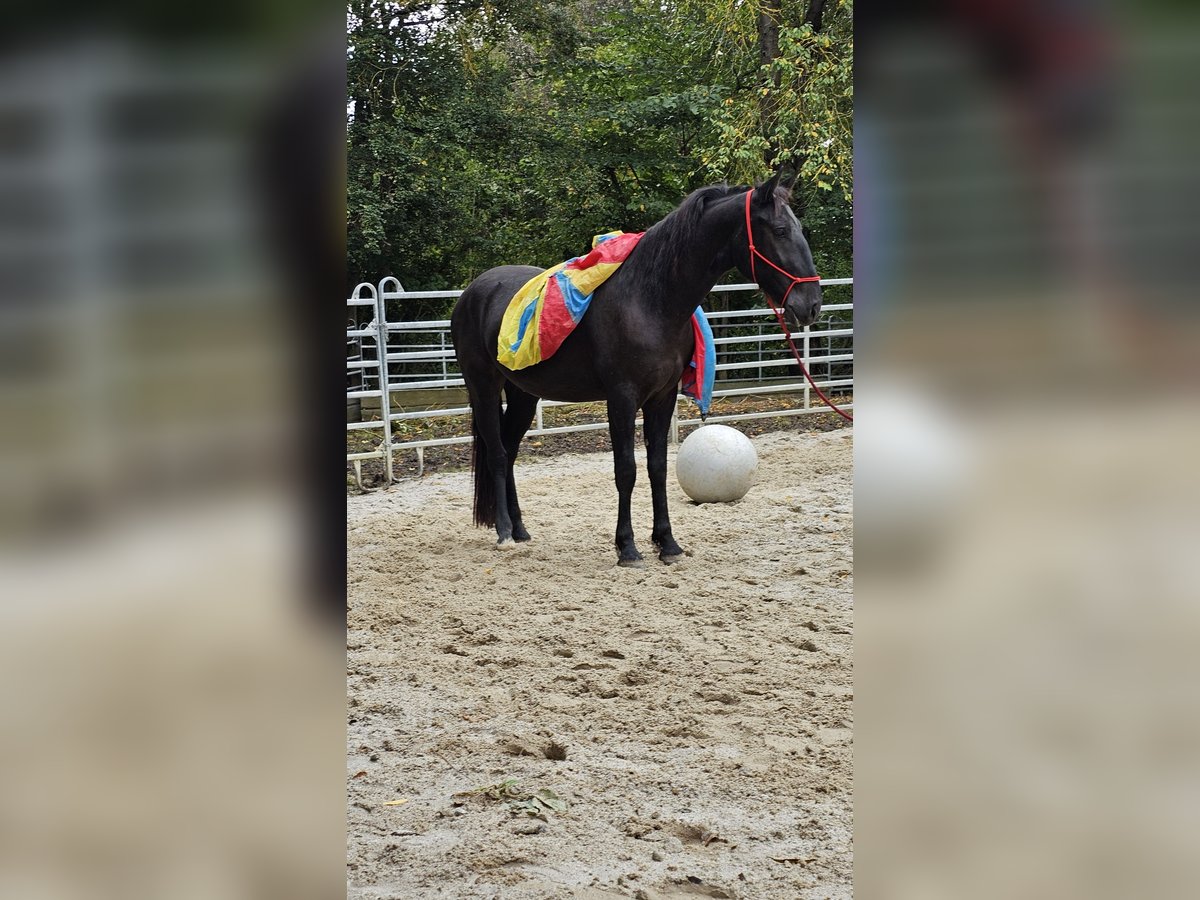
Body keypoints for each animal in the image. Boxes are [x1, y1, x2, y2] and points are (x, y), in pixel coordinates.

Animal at [451, 174, 825, 566]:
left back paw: (520, 529)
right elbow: (626, 470)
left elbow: (657, 468)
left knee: (509, 452)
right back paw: (504, 531)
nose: (811, 305)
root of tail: (473, 292)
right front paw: (627, 547)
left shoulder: (662, 397)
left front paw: (667, 543)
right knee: (497, 453)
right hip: (483, 387)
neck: (650, 300)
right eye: (780, 230)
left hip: (523, 395)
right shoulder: (622, 398)